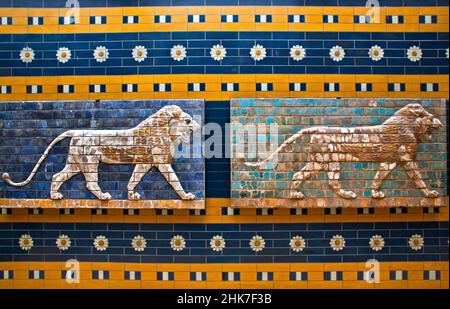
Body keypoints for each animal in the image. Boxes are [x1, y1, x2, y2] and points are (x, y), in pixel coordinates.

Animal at [1, 103, 199, 200]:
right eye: (188, 121)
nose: (197, 127)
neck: (167, 130)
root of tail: (76, 131)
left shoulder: (144, 163)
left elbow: (134, 179)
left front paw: (131, 196)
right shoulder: (161, 162)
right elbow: (174, 180)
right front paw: (186, 196)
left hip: (75, 164)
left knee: (57, 176)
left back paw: (55, 196)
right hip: (89, 162)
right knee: (90, 183)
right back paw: (103, 197)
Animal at [244, 103, 442, 200]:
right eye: (431, 116)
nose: (440, 123)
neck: (409, 125)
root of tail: (318, 128)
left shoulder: (389, 161)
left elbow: (378, 177)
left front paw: (375, 194)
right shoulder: (406, 159)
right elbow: (418, 178)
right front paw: (429, 194)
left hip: (325, 162)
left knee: (320, 180)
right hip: (323, 161)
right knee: (311, 178)